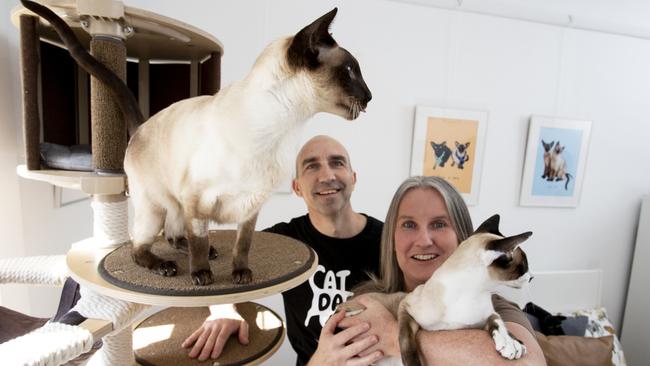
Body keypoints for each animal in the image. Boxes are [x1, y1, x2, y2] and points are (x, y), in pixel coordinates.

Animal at [22, 0, 370, 286]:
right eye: (350, 71)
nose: (370, 97)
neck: (280, 130)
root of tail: (143, 124)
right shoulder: (198, 200)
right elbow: (199, 241)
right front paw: (202, 275)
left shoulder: (250, 206)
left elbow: (243, 245)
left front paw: (240, 274)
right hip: (156, 207)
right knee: (140, 245)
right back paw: (169, 266)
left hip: (175, 205)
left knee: (174, 233)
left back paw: (196, 251)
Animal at [336, 214, 528, 366]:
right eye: (524, 266)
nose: (531, 277)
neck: (472, 293)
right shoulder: (406, 308)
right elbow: (406, 342)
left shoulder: (482, 319)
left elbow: (498, 321)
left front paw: (513, 344)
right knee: (336, 316)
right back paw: (349, 313)